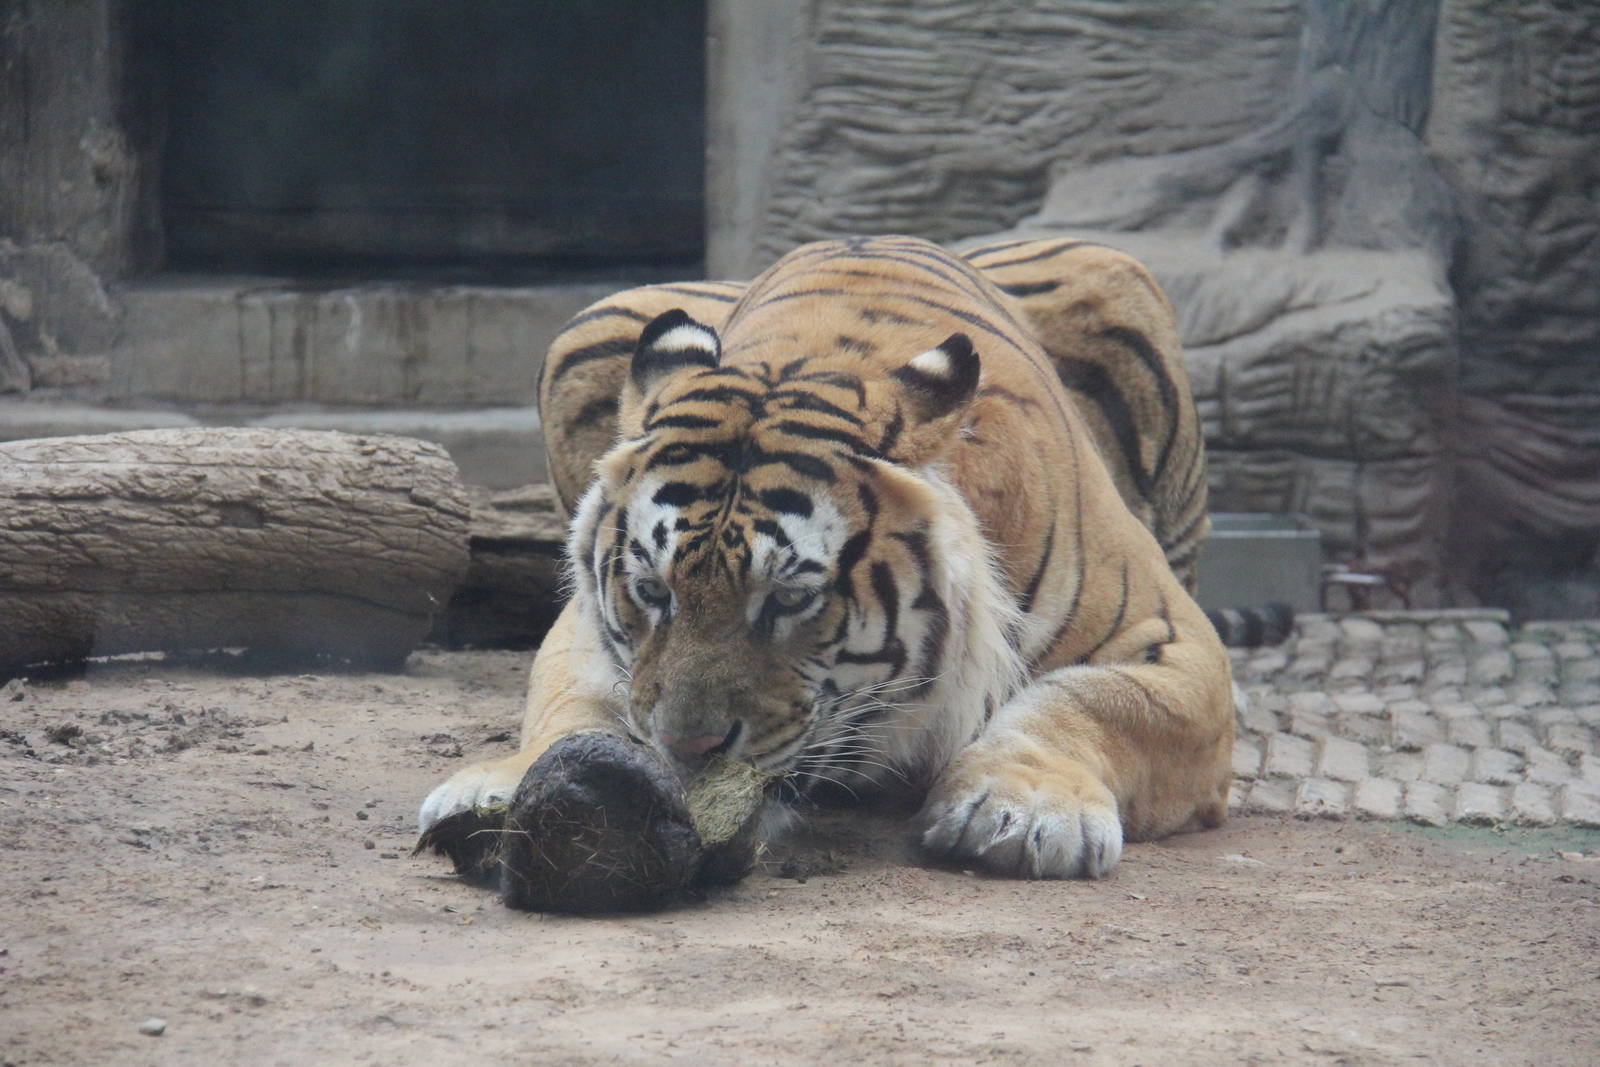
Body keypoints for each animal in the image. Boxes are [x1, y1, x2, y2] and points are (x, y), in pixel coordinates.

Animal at [418, 235, 1235, 880]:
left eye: (786, 600)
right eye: (653, 592)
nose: (688, 747)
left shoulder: (1174, 640)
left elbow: (1089, 702)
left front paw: (1022, 810)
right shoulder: (583, 629)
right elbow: (569, 701)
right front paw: (501, 788)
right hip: (597, 321)